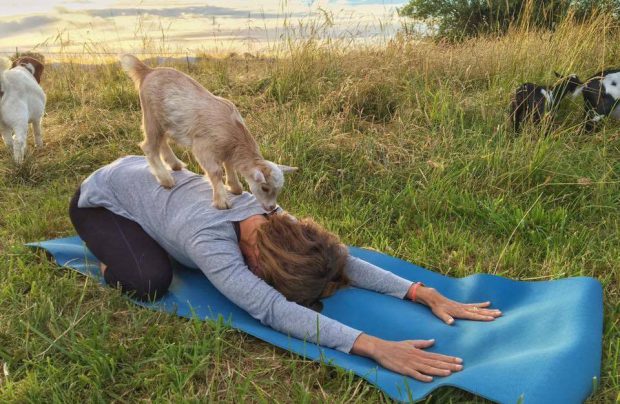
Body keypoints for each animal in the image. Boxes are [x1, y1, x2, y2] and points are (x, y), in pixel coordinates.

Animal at [121, 54, 298, 211]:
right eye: (265, 188)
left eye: (278, 190)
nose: (272, 208)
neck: (234, 135)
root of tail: (148, 70)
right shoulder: (203, 147)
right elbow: (216, 171)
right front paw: (222, 202)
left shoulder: (228, 152)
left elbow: (229, 165)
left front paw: (235, 187)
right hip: (150, 116)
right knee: (149, 146)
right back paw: (166, 179)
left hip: (164, 121)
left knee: (162, 141)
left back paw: (175, 164)